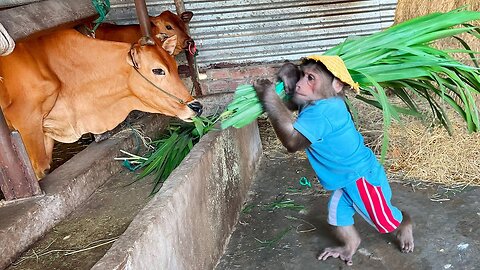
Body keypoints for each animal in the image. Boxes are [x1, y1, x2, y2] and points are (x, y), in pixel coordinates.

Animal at [0, 28, 202, 179]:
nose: (197, 106)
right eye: (158, 70)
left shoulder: (45, 132)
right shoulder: (27, 127)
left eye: (175, 67)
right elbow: (39, 170)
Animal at [253, 57, 414, 266]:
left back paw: (406, 226)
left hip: (371, 192)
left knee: (385, 220)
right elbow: (292, 104)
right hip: (347, 194)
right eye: (303, 75)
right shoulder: (304, 104)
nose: (299, 84)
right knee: (338, 212)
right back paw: (349, 247)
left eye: (311, 78)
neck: (323, 99)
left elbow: (292, 140)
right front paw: (288, 74)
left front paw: (266, 89)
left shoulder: (320, 117)